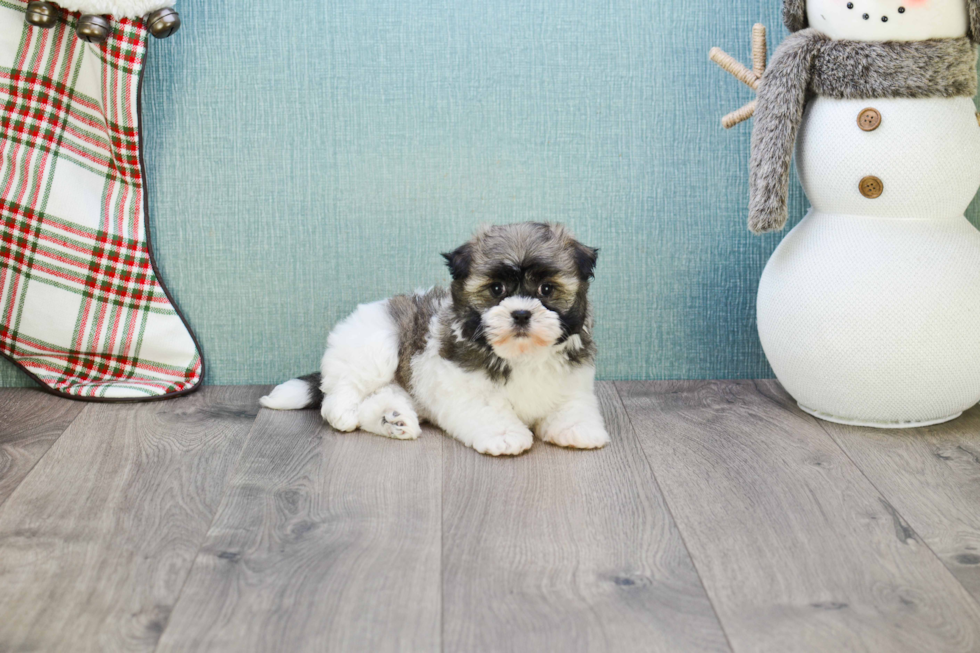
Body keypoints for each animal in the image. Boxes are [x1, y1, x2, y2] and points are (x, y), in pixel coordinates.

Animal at [264, 222, 608, 456]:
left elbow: (572, 405)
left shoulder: (571, 382)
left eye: (546, 289)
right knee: (345, 389)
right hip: (374, 345)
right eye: (496, 289)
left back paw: (393, 420)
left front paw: (577, 429)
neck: (522, 354)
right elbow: (489, 410)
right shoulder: (466, 386)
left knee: (379, 398)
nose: (521, 314)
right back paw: (344, 413)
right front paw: (504, 435)